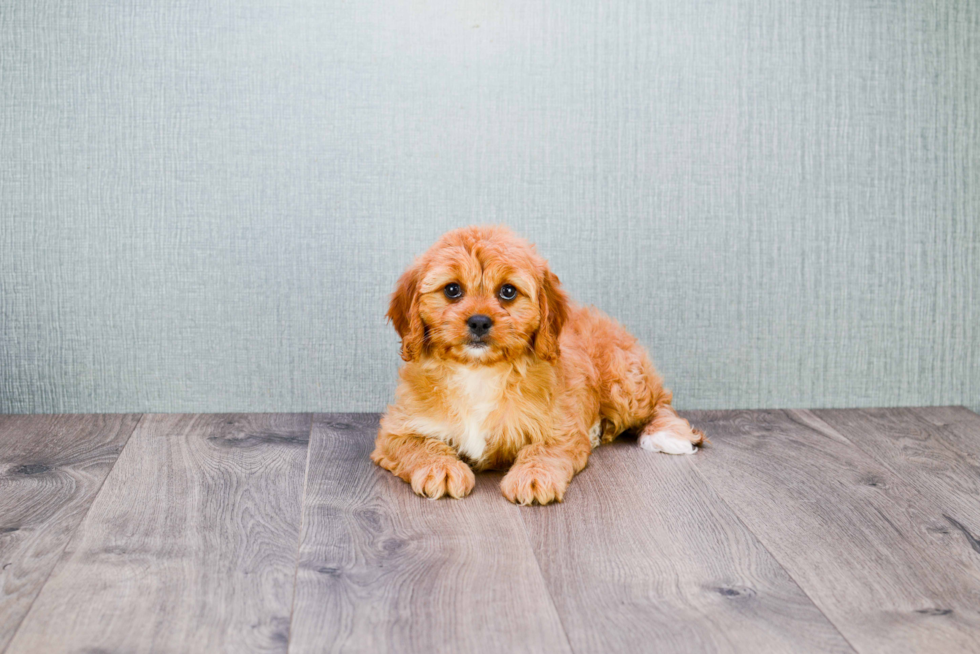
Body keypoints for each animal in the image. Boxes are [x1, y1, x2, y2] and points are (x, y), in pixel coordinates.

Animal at [370, 227, 704, 508]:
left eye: (508, 291)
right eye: (452, 290)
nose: (479, 321)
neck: (478, 371)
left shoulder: (561, 424)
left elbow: (543, 449)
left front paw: (532, 477)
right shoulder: (396, 430)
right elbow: (419, 445)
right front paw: (441, 469)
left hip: (625, 384)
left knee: (659, 403)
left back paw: (666, 434)